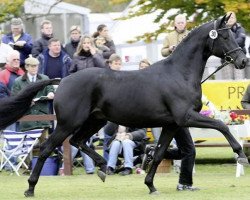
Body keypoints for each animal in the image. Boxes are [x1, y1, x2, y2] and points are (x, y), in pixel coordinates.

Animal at [0, 14, 249, 196]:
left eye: (232, 34)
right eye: (224, 36)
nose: (242, 60)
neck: (179, 73)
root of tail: (62, 80)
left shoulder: (171, 124)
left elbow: (159, 153)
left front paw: (151, 186)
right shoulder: (185, 117)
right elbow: (222, 125)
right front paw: (241, 155)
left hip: (94, 121)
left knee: (78, 141)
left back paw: (103, 168)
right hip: (67, 123)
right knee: (47, 149)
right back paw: (30, 188)